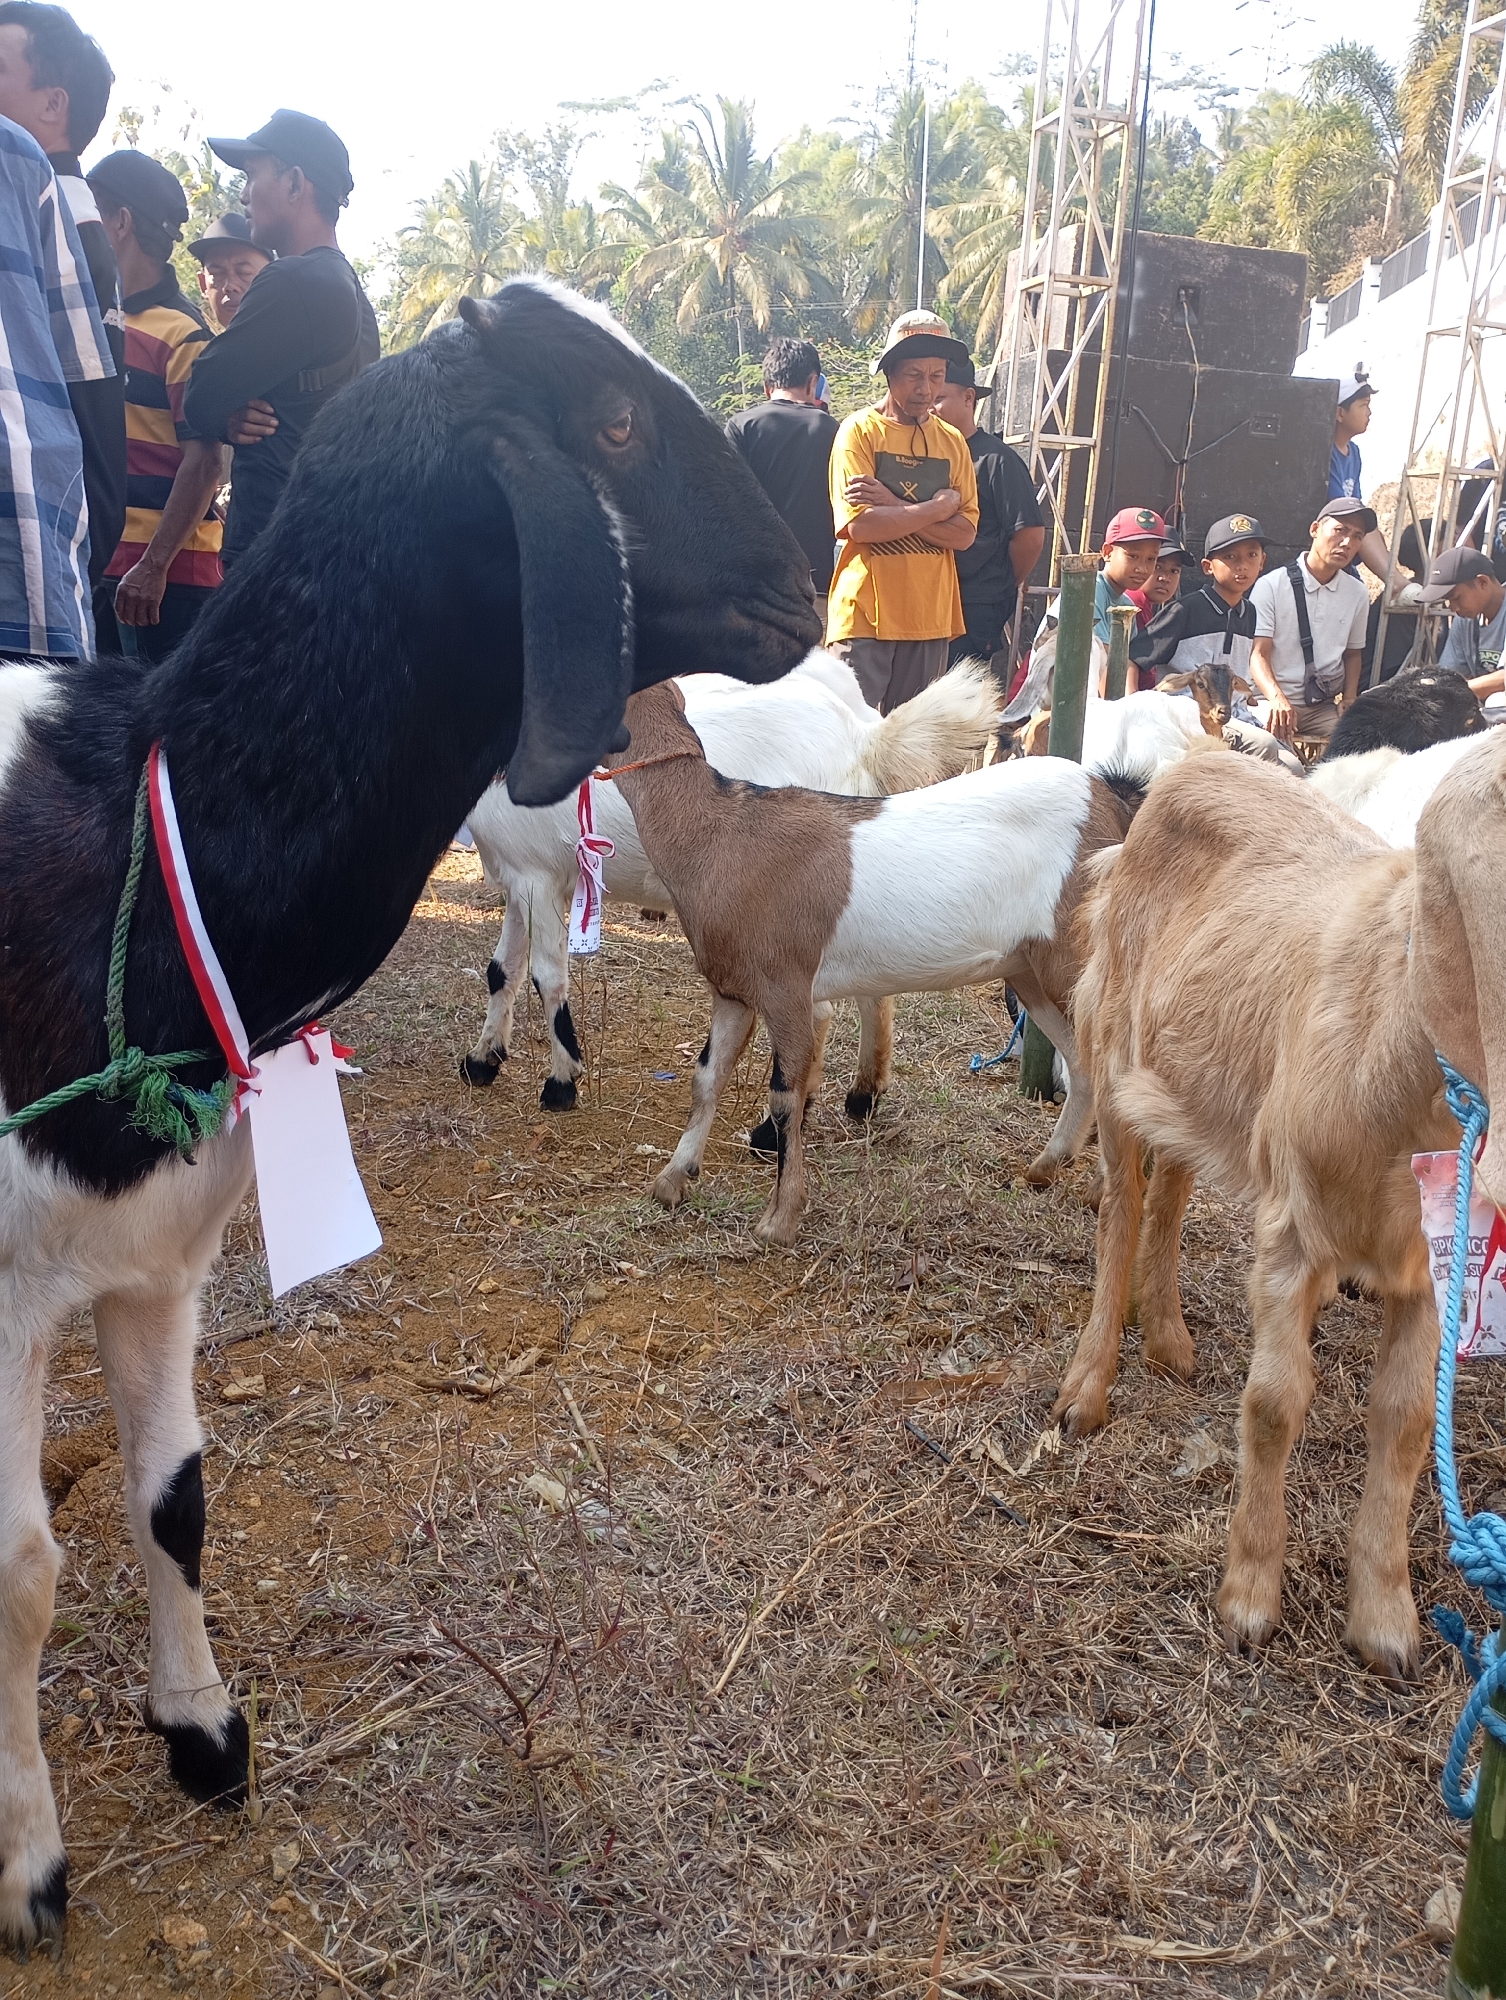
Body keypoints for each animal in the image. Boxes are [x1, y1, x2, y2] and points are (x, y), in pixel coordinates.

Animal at [0, 278, 819, 1950]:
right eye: (612, 423)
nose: (803, 583)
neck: (133, 854)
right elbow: (19, 1576)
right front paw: (30, 1863)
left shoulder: (155, 1253)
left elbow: (173, 1496)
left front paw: (202, 1731)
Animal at [461, 657, 1001, 1109]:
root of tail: (864, 736)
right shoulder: (517, 879)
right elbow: (502, 970)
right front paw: (483, 1059)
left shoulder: (538, 876)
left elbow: (547, 978)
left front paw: (560, 1084)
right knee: (874, 991)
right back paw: (863, 1093)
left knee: (823, 1008)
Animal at [606, 684, 1149, 1244]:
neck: (721, 834)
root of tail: (1112, 799)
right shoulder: (732, 991)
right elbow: (706, 1077)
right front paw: (673, 1180)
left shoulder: (787, 988)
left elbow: (785, 1098)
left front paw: (780, 1218)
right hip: (1029, 972)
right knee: (1085, 1066)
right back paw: (1046, 1168)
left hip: (1077, 961)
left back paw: (1101, 1192)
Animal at [1055, 734, 1506, 1681]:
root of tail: (1192, 759)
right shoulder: (1293, 1230)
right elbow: (1273, 1401)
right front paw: (1249, 1598)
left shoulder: (1425, 1268)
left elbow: (1406, 1420)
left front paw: (1385, 1619)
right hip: (1112, 1042)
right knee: (1122, 1204)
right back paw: (1089, 1383)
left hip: (1194, 1076)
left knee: (1173, 1190)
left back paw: (1169, 1339)